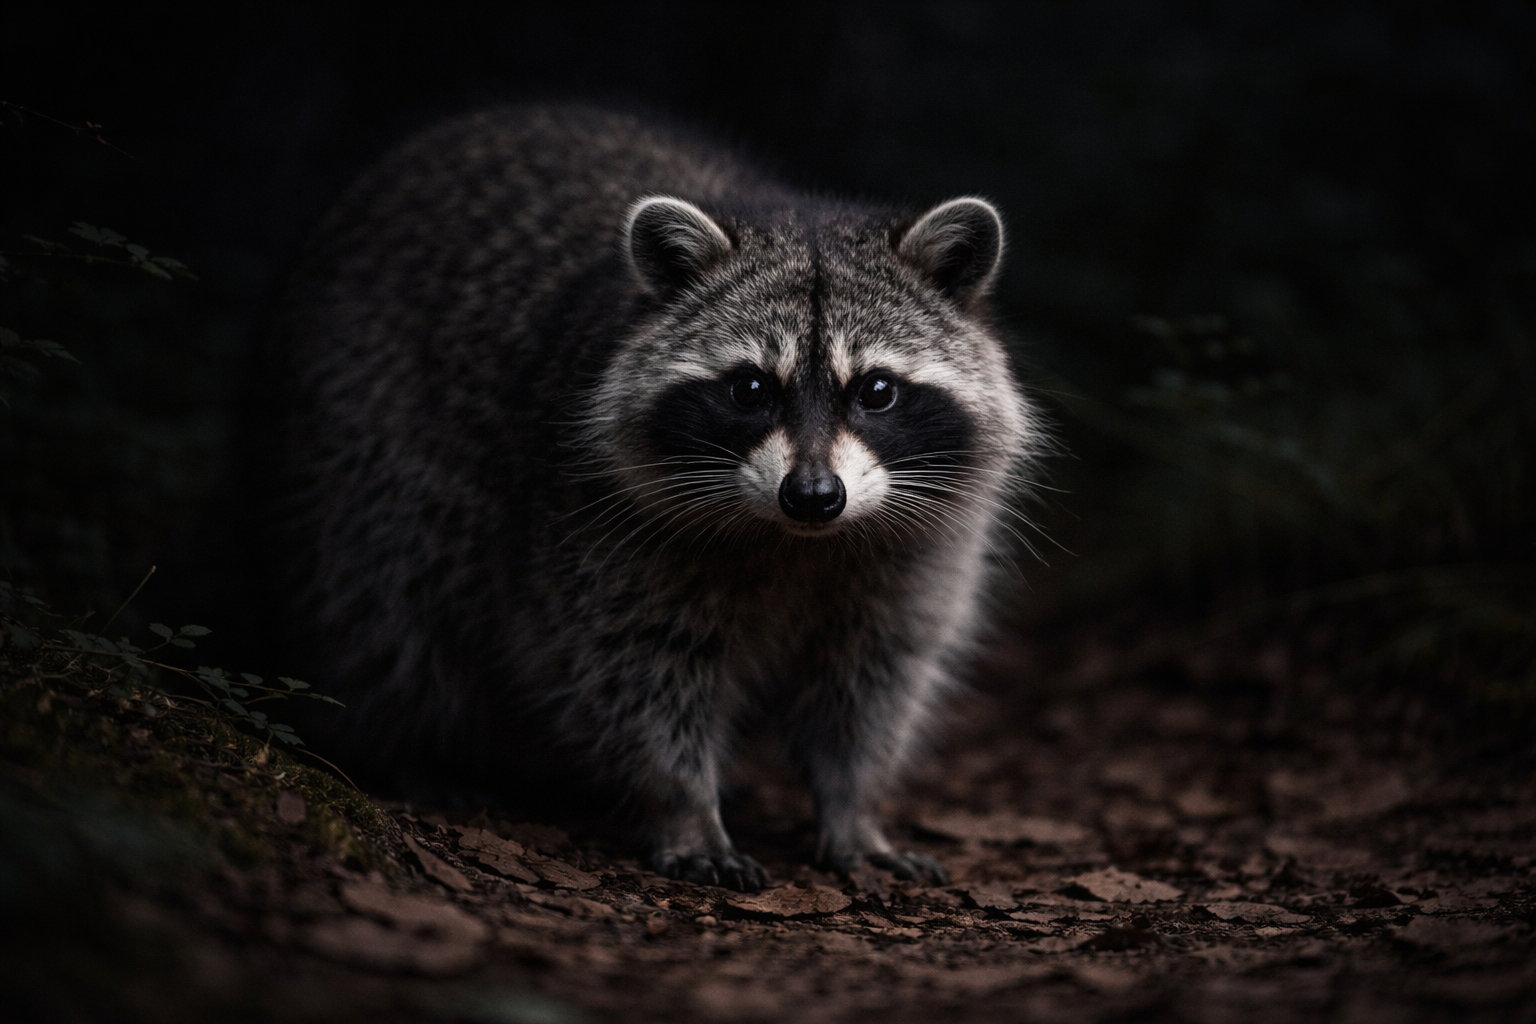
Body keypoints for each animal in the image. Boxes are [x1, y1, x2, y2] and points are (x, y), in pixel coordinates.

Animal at [271, 105, 1038, 890]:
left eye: (877, 391)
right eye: (750, 389)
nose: (813, 495)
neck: (795, 542)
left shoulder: (917, 552)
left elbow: (874, 685)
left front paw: (856, 809)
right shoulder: (594, 527)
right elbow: (632, 673)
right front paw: (685, 806)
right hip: (367, 445)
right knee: (389, 607)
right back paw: (407, 747)